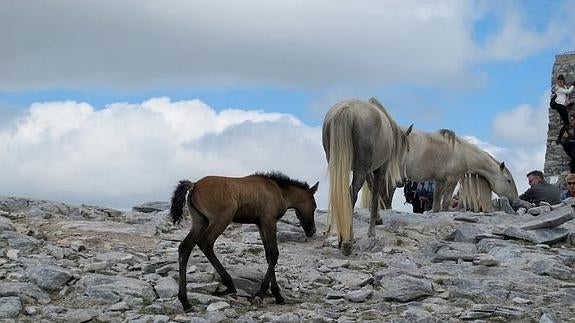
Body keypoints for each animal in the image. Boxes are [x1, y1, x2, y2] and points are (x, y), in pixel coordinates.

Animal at [322, 98, 412, 256]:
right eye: (407, 149)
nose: (405, 180)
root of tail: (346, 110)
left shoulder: (369, 170)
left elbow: (370, 189)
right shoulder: (379, 169)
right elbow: (375, 196)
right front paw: (372, 231)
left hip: (337, 164)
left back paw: (341, 238)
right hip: (360, 169)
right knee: (351, 194)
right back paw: (347, 241)